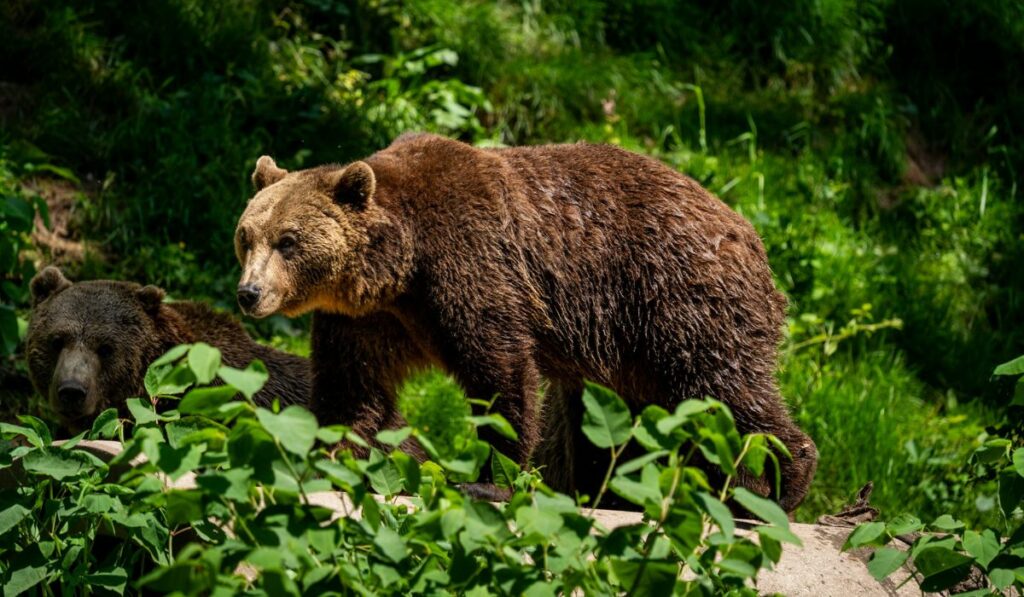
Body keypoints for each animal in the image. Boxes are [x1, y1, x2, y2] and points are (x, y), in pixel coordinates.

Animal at [234, 133, 818, 512]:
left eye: (289, 241)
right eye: (247, 236)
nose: (248, 293)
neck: (401, 267)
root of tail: (749, 232)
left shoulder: (471, 268)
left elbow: (501, 374)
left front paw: (491, 480)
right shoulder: (370, 320)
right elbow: (351, 388)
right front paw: (327, 459)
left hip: (676, 300)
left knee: (723, 390)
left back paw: (780, 482)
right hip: (627, 352)